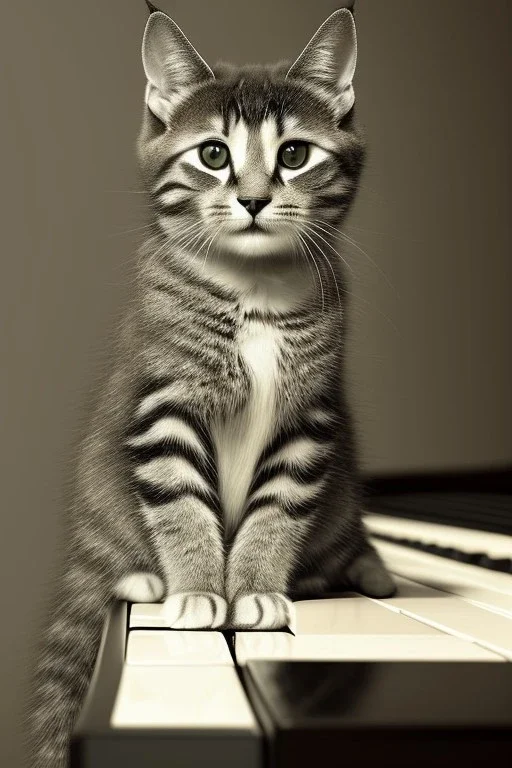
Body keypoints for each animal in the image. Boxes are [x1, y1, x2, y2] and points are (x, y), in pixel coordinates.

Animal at [25, 3, 396, 764]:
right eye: (214, 155)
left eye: (294, 155)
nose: (253, 200)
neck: (253, 292)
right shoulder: (163, 403)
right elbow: (181, 505)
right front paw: (199, 590)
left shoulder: (308, 420)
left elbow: (276, 510)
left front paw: (254, 587)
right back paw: (142, 575)